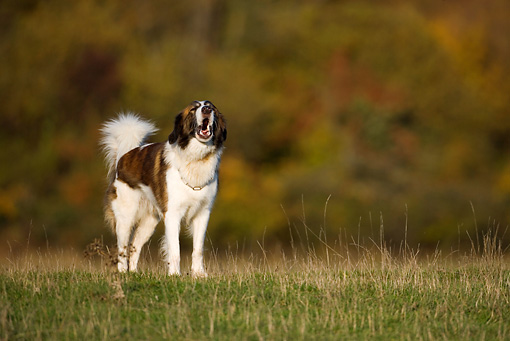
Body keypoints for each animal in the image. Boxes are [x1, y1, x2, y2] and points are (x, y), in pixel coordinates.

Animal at [100, 99, 226, 274]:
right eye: (194, 109)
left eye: (212, 108)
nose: (206, 109)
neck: (196, 159)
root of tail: (123, 157)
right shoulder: (173, 215)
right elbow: (175, 250)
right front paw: (174, 275)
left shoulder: (203, 213)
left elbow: (198, 249)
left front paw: (199, 275)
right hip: (125, 218)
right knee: (123, 250)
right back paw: (123, 273)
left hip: (149, 223)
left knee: (134, 247)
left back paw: (134, 274)